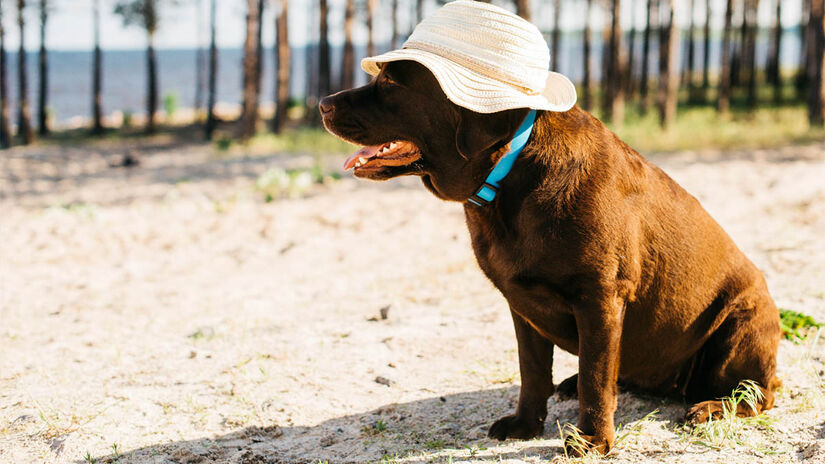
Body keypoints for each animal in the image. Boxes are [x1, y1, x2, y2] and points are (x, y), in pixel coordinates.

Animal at [318, 59, 780, 454]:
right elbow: (533, 371)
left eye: (392, 82)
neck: (508, 173)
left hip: (741, 322)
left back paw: (712, 407)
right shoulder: (521, 304)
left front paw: (591, 441)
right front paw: (526, 424)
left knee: (761, 391)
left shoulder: (600, 298)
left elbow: (596, 378)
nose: (322, 103)